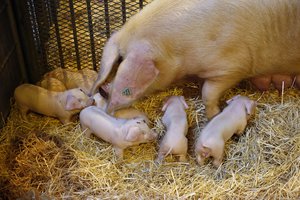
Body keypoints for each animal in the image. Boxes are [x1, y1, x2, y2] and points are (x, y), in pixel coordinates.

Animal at [90, 0, 300, 119]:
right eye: (117, 59)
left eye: (122, 61)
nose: (102, 90)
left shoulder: (231, 67)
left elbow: (208, 93)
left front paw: (214, 116)